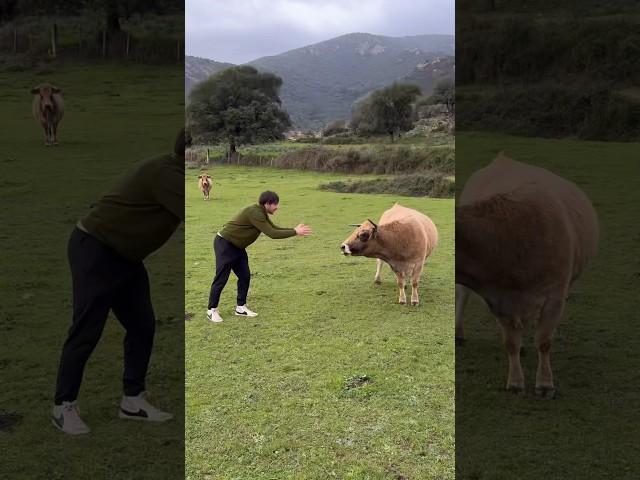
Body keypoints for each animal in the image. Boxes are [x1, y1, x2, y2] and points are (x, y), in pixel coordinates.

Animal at [458, 154, 596, 398]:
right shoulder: (498, 299)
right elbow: (510, 342)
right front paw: (515, 382)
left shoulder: (555, 296)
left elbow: (544, 341)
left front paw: (545, 384)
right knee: (462, 294)